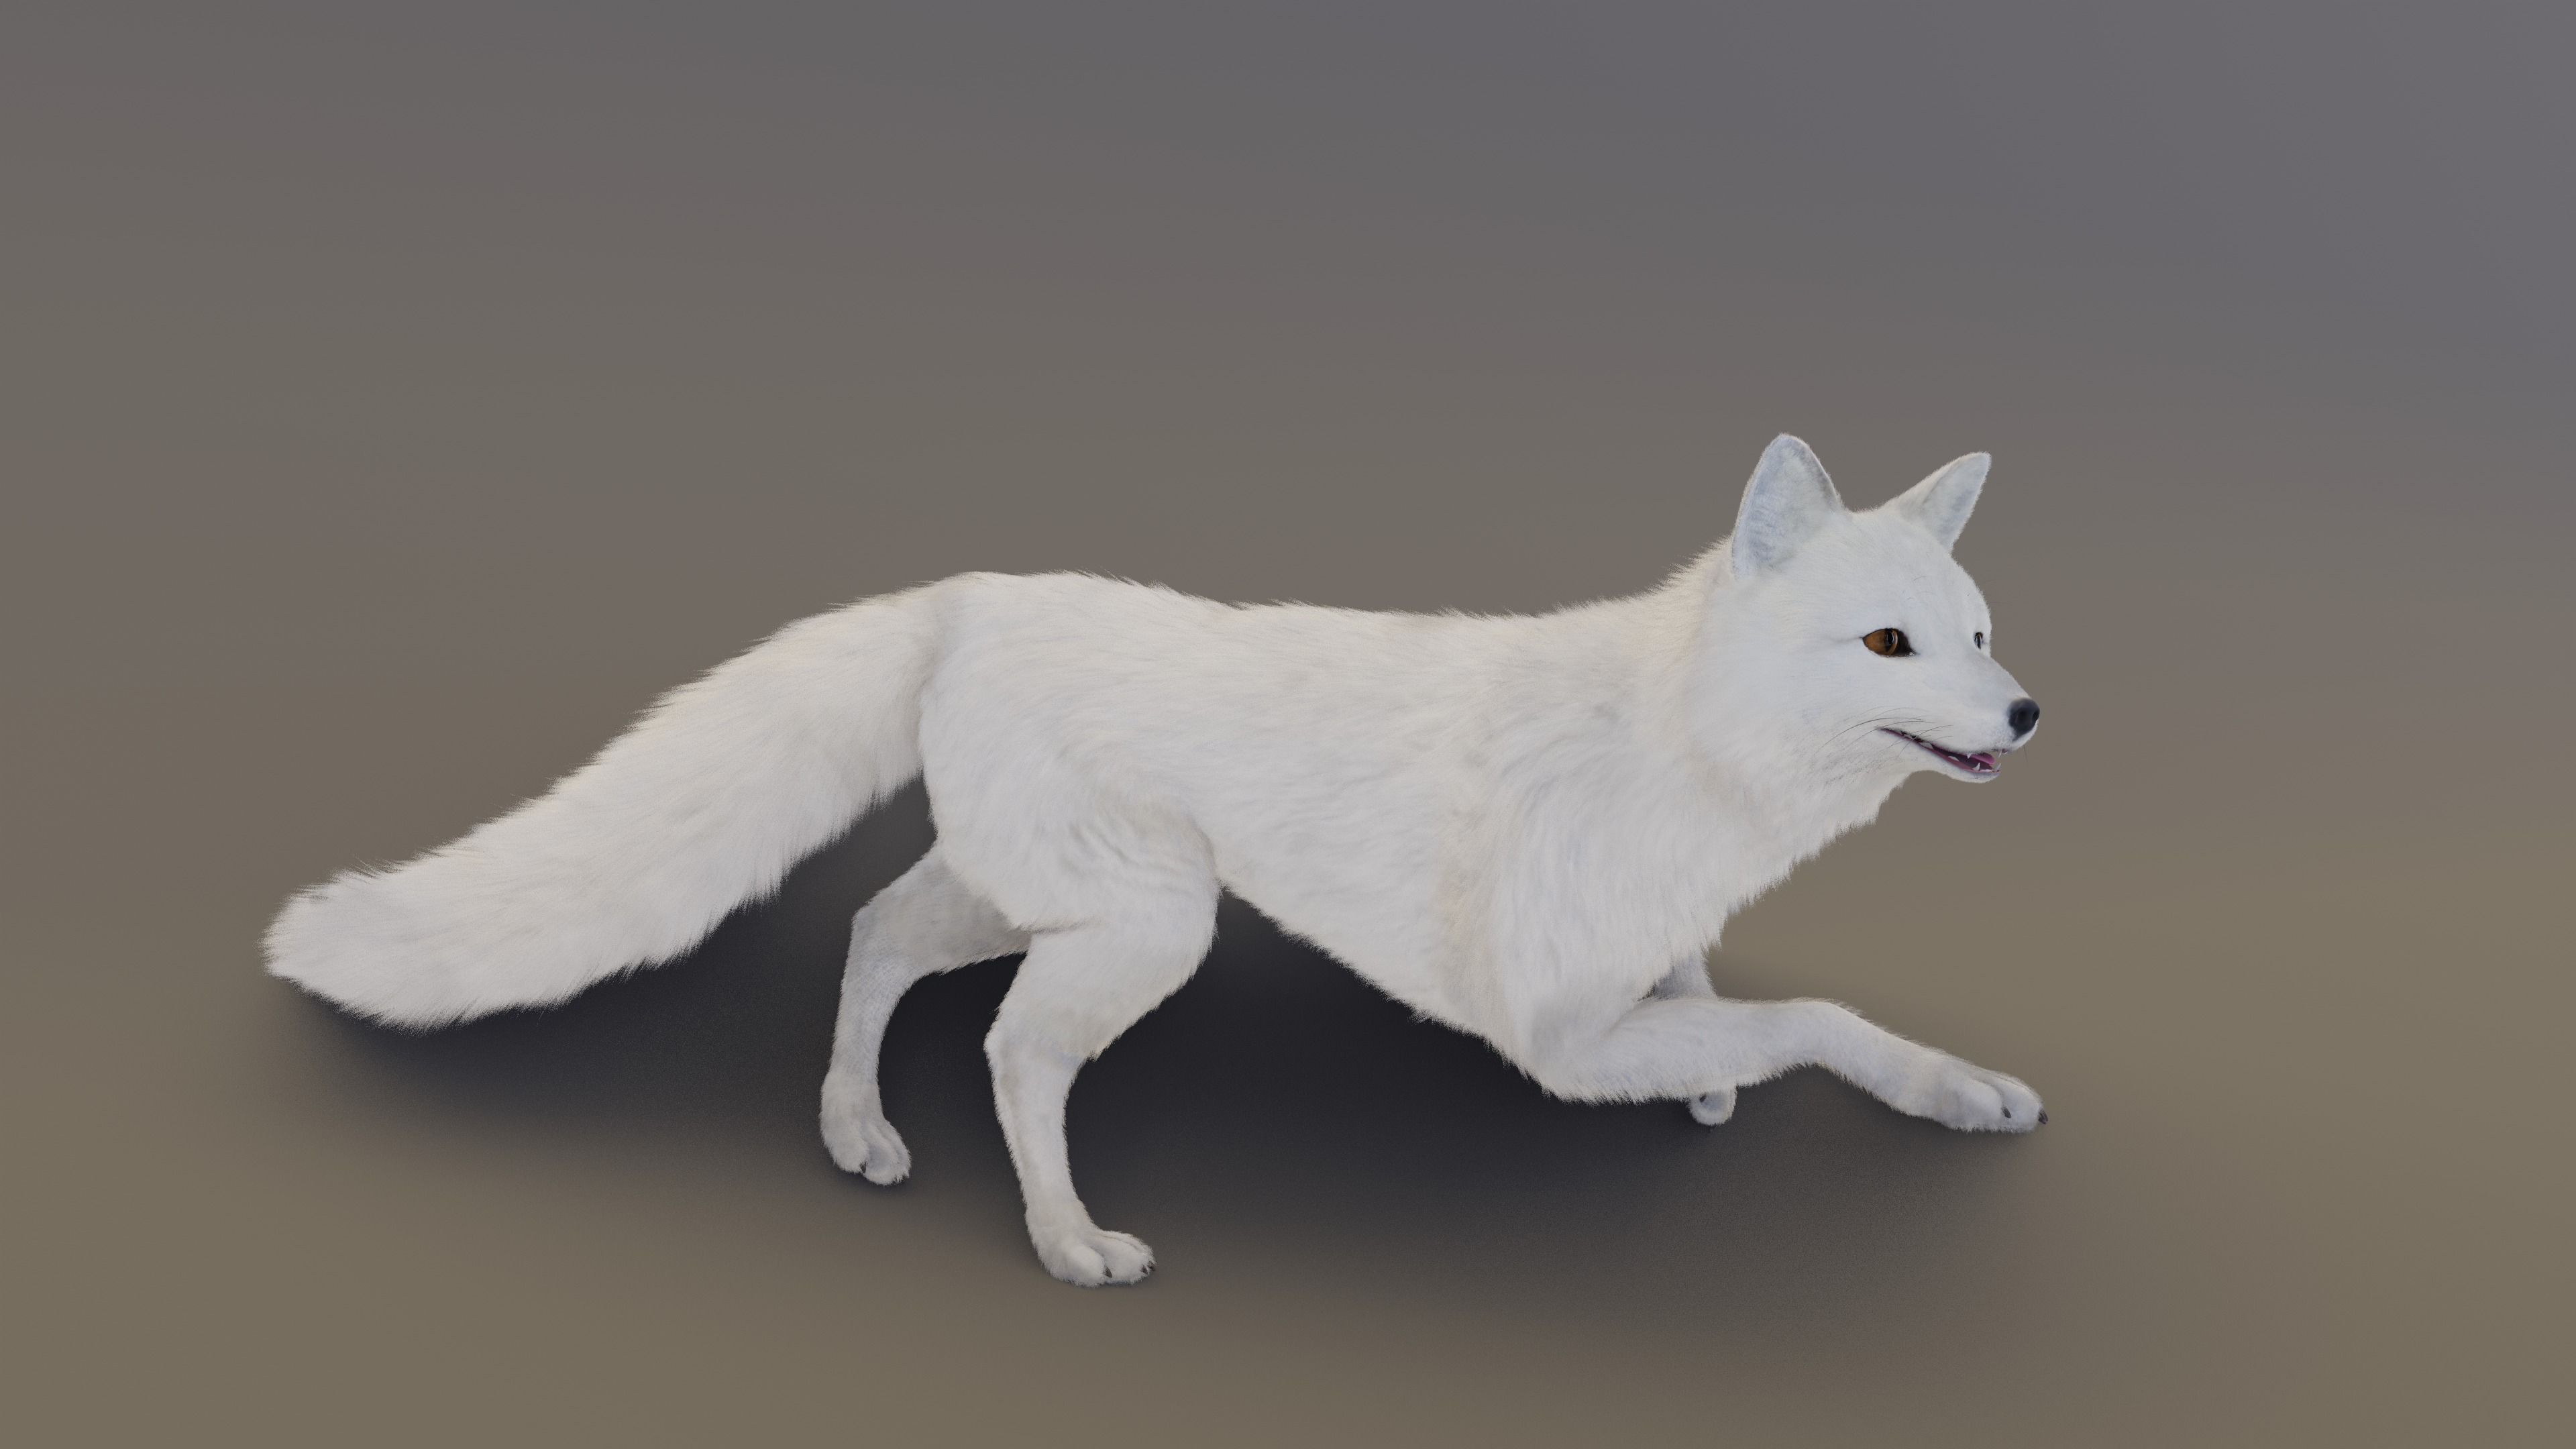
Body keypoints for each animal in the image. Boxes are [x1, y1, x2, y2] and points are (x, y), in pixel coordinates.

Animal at [268, 434, 2047, 1286]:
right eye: (1889, 643)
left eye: (1974, 631)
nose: (2031, 714)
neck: (1687, 753)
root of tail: (971, 593)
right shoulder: (1548, 1038)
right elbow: (1816, 1020)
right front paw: (1946, 1090)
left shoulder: (1634, 971)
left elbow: (1718, 999)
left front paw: (1719, 1086)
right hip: (1152, 928)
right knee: (1010, 1053)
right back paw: (1065, 1244)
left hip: (1037, 897)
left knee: (874, 931)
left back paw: (852, 1126)